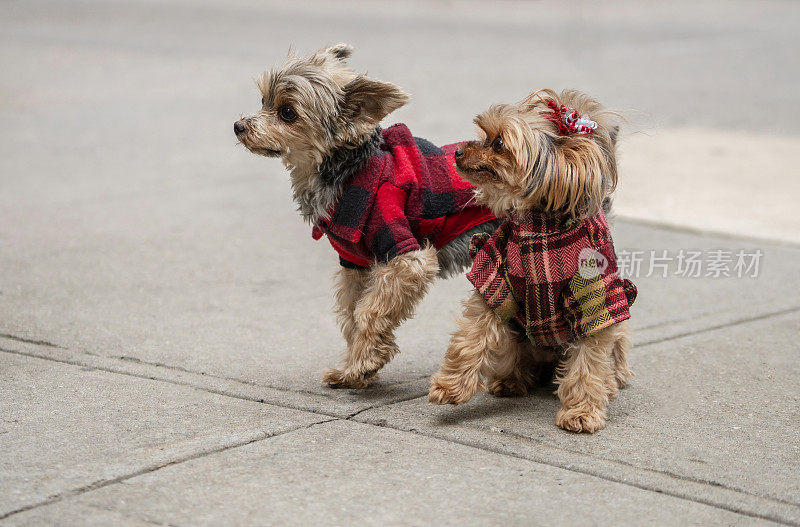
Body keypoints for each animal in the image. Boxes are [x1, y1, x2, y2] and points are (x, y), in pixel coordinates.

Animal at [234, 44, 500, 388]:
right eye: (263, 100)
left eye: (287, 112)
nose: (239, 126)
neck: (348, 174)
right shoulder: (355, 263)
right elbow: (351, 313)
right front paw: (351, 368)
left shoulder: (404, 258)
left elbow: (369, 311)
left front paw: (364, 363)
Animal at [428, 88, 636, 434]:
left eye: (499, 143)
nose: (457, 152)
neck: (540, 229)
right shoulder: (495, 279)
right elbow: (471, 337)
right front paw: (450, 386)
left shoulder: (593, 299)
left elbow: (588, 363)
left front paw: (581, 412)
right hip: (517, 334)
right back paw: (511, 379)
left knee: (612, 356)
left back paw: (611, 382)